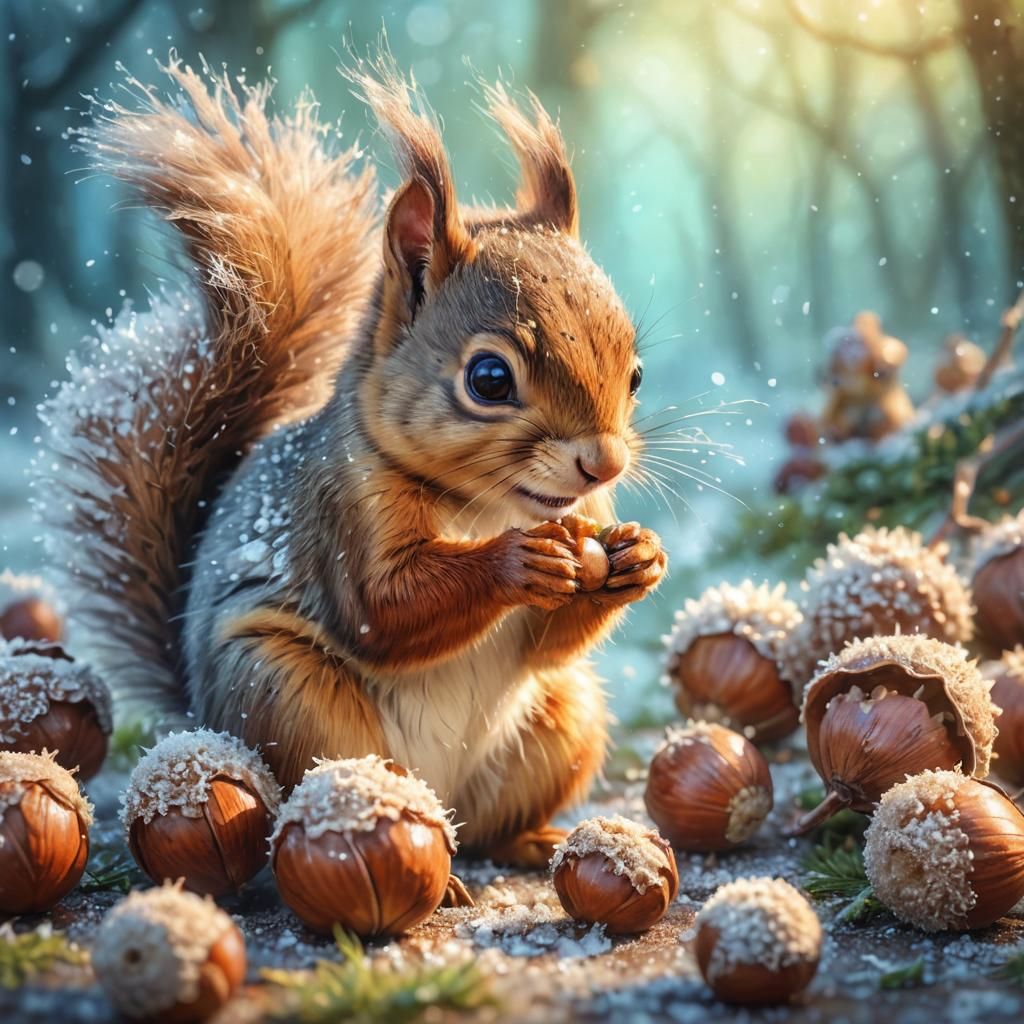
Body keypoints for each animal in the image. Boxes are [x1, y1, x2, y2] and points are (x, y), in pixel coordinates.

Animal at [37, 58, 667, 867]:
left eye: (636, 374)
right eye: (489, 379)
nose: (604, 466)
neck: (491, 506)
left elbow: (546, 641)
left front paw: (639, 558)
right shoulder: (340, 508)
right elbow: (382, 608)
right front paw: (517, 563)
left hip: (566, 717)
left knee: (489, 824)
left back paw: (529, 841)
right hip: (287, 695)